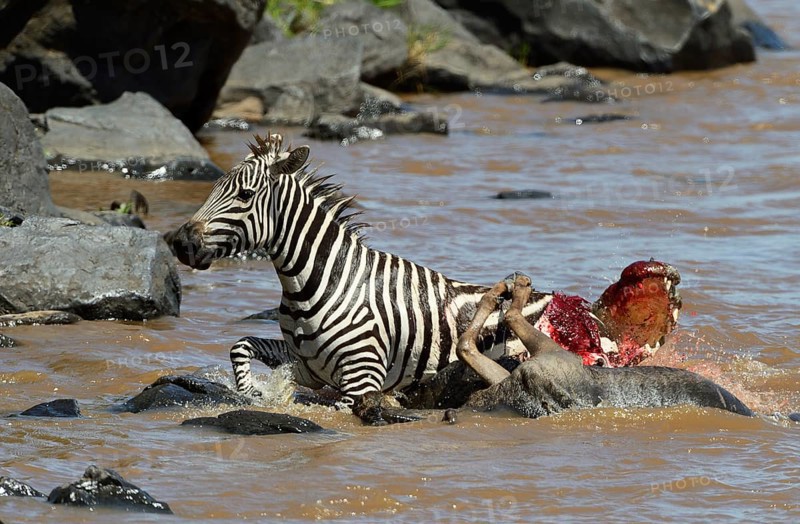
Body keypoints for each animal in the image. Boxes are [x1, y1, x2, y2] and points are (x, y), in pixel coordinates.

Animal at [170, 134, 555, 416]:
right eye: (214, 187)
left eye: (245, 194)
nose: (180, 242)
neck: (317, 285)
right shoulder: (304, 365)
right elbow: (241, 345)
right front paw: (253, 391)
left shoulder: (361, 379)